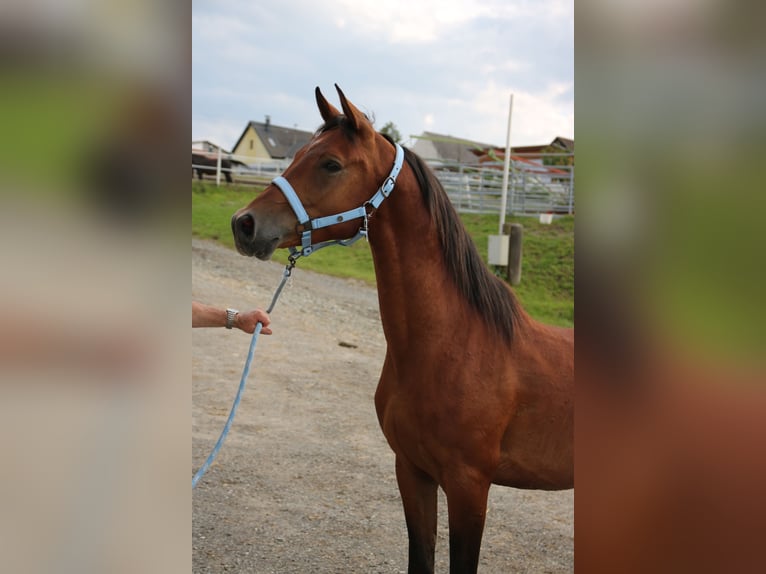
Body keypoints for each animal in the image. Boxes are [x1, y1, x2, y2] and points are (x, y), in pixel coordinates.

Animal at [231, 86, 572, 574]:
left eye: (330, 163)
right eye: (296, 155)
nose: (243, 224)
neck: (455, 346)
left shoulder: (470, 488)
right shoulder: (412, 472)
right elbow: (420, 556)